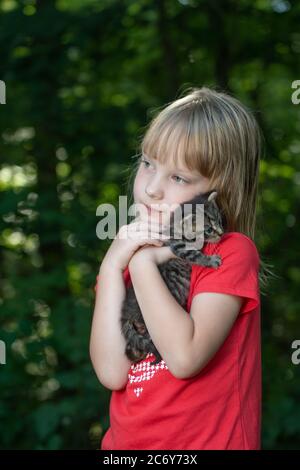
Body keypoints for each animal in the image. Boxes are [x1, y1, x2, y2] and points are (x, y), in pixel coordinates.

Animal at [120, 189, 225, 366]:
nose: (222, 233)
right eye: (209, 230)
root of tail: (126, 311)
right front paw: (210, 260)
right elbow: (195, 255)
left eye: (219, 220)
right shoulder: (179, 246)